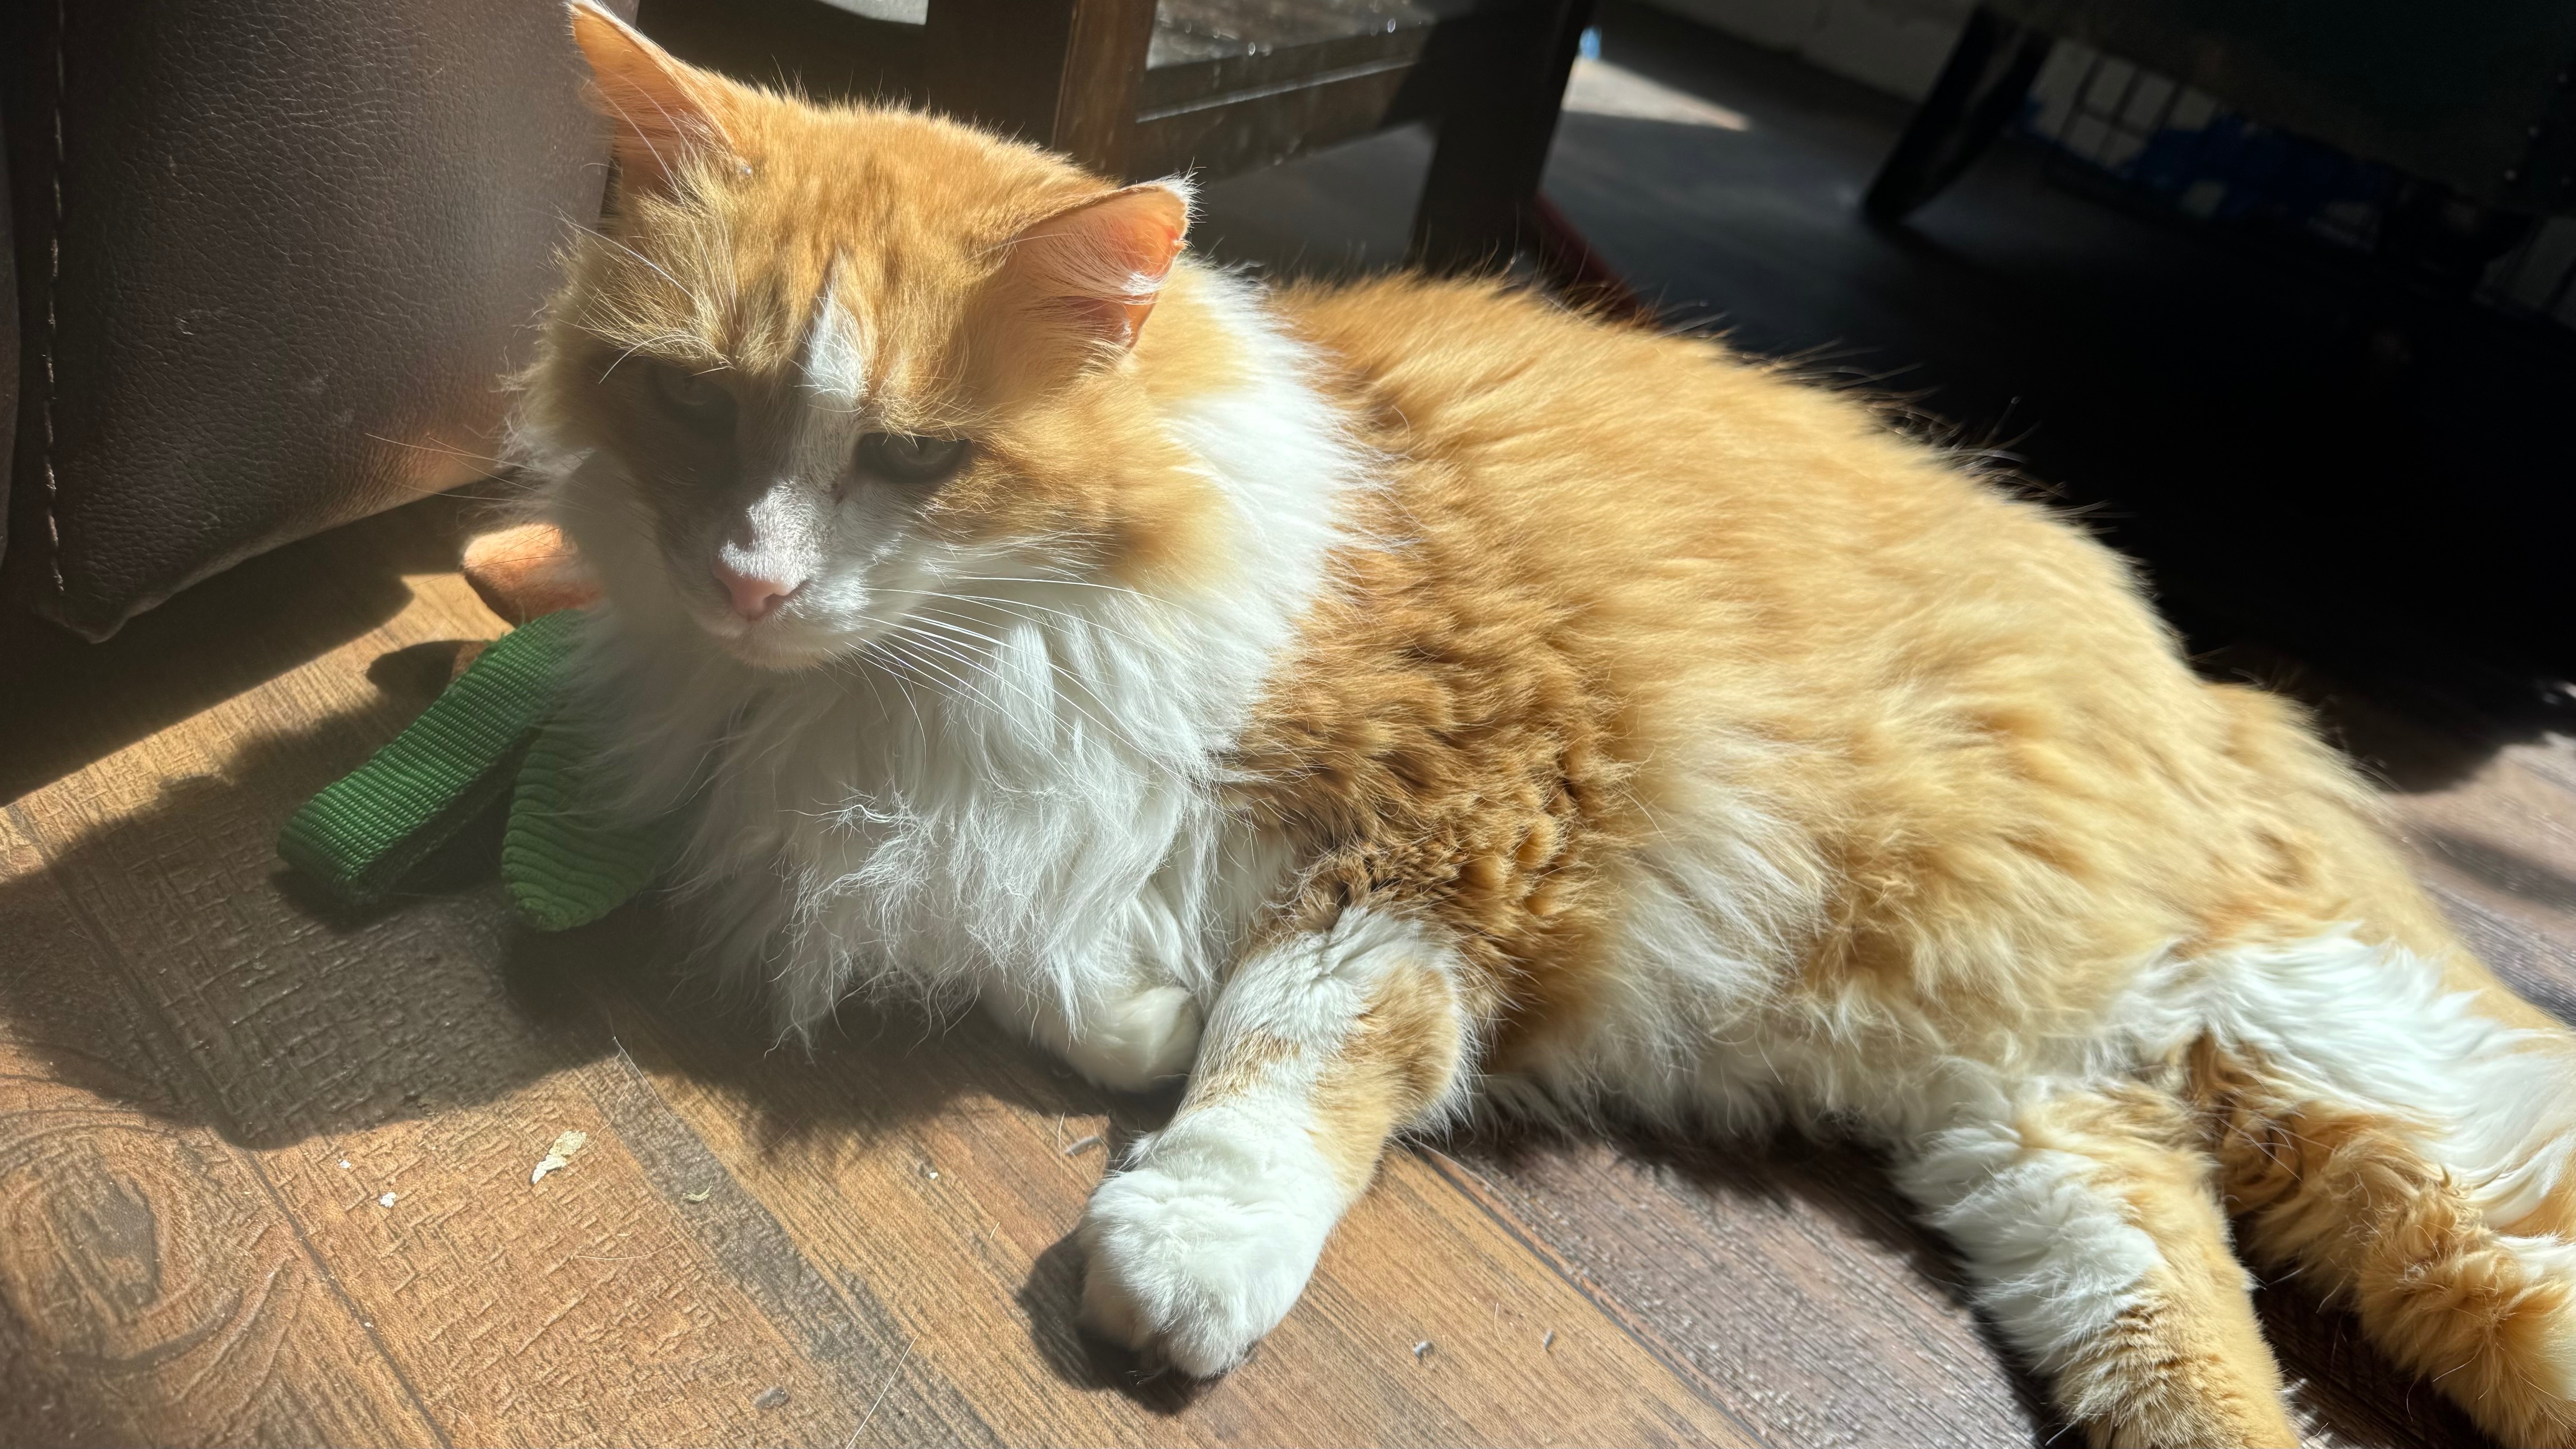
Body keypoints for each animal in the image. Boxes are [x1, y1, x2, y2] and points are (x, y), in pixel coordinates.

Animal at [517, 6, 2576, 1444]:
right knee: (2198, 1328)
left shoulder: (1470, 806)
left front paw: (1182, 1250)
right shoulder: (964, 820)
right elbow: (1067, 950)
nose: (750, 583)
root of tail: (2211, 687)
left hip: (2355, 1073)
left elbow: (1303, 1042)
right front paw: (1138, 1003)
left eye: (911, 460)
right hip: (2061, 1160)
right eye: (690, 407)